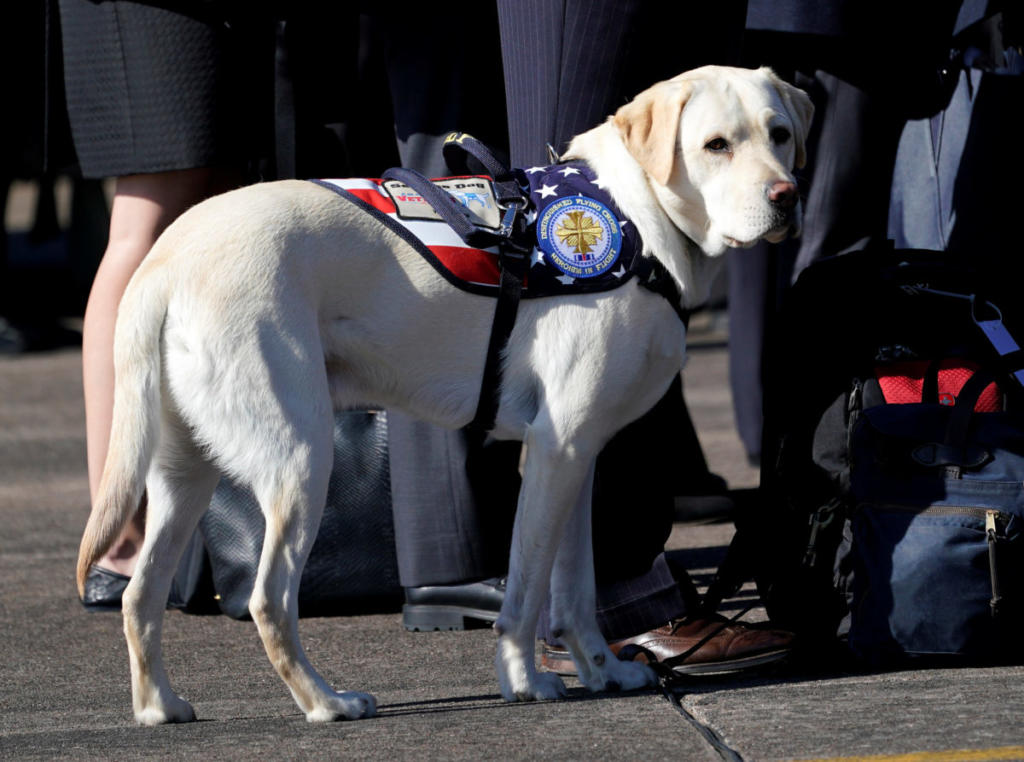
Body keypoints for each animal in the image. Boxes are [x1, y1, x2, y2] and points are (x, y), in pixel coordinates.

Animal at [77, 67, 815, 725]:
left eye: (780, 134)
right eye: (716, 145)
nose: (786, 196)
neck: (635, 216)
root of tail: (165, 258)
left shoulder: (579, 457)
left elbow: (574, 590)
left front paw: (603, 671)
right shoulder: (553, 450)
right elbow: (526, 590)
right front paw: (527, 682)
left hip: (183, 474)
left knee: (140, 598)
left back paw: (159, 707)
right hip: (299, 461)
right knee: (268, 601)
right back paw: (326, 703)